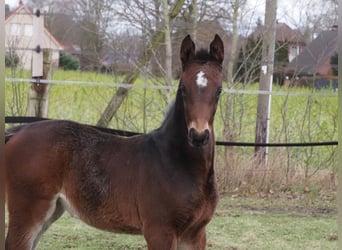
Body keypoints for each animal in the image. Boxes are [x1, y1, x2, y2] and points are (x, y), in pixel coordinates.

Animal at [6, 34, 224, 249]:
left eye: (219, 90)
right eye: (183, 88)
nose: (198, 135)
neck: (177, 162)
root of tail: (19, 131)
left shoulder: (195, 234)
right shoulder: (159, 231)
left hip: (51, 212)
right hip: (29, 212)